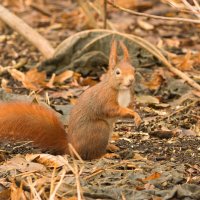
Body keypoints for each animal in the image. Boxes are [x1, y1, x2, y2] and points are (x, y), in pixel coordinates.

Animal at [0, 40, 141, 159]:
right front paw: (134, 114)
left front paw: (136, 115)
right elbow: (112, 109)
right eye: (117, 72)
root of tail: (72, 148)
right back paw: (106, 154)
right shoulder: (105, 99)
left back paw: (111, 146)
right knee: (92, 154)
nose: (131, 80)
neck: (121, 90)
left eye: (134, 70)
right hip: (100, 128)